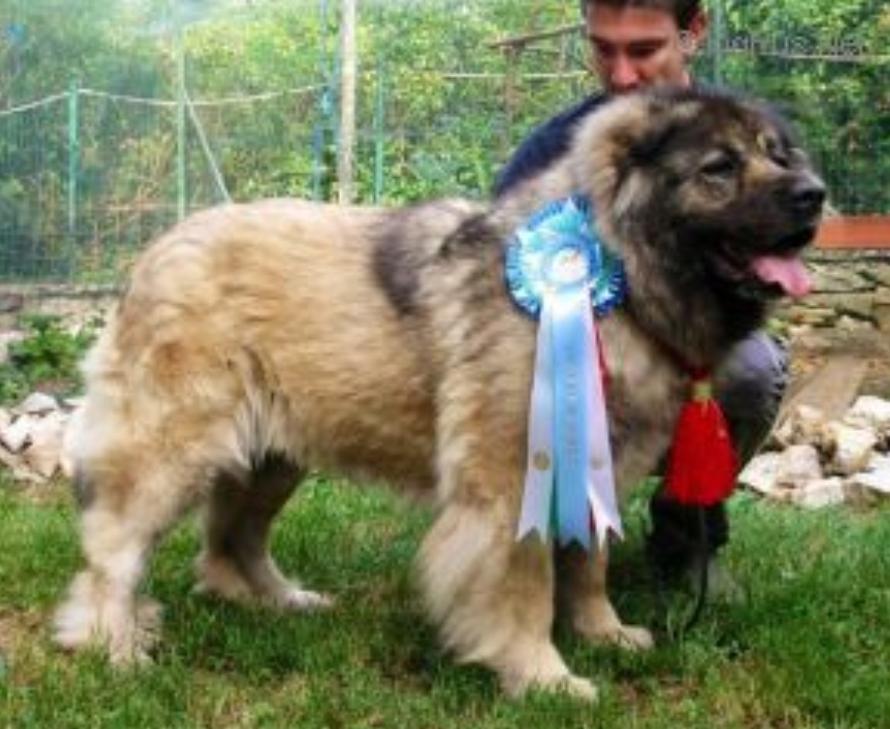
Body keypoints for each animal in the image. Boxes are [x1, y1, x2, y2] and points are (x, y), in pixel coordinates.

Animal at [53, 89, 820, 700]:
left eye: (778, 155)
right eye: (719, 168)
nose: (813, 192)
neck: (615, 272)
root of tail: (159, 248)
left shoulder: (594, 455)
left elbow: (588, 563)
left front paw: (603, 632)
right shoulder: (512, 477)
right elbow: (525, 584)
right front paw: (542, 675)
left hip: (275, 453)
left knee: (230, 539)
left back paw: (276, 600)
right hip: (172, 450)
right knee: (116, 550)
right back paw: (112, 645)